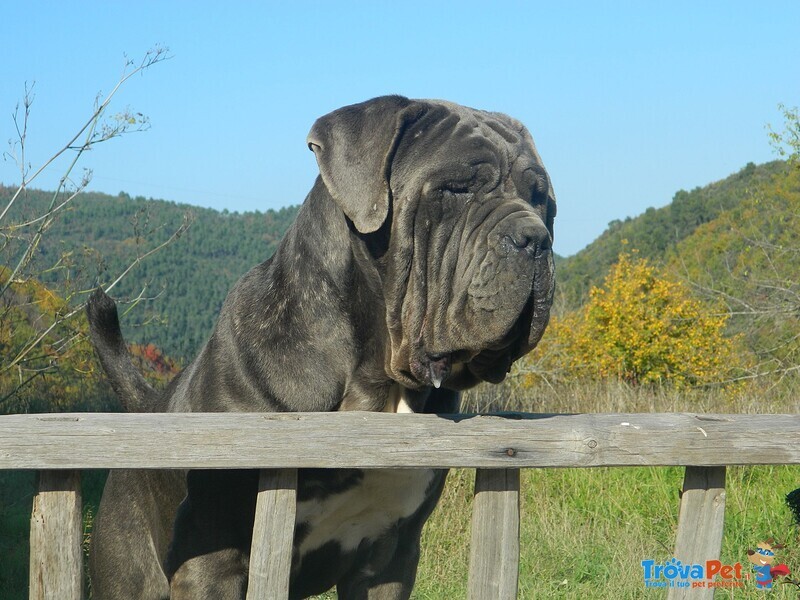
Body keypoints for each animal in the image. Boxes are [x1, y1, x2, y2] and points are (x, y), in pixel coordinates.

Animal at [84, 96, 552, 596]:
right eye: (457, 189)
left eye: (542, 199)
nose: (535, 238)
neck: (374, 385)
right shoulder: (212, 560)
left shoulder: (391, 554)